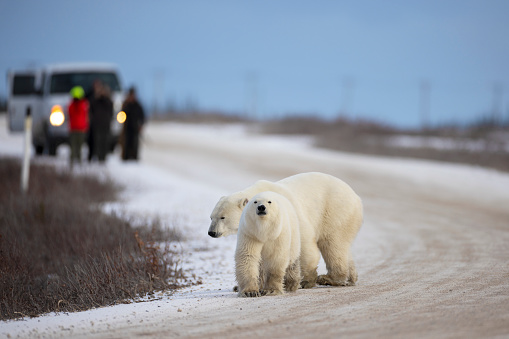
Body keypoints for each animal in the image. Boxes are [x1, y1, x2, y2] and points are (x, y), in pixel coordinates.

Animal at [208, 173, 364, 290]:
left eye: (222, 217)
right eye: (211, 217)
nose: (211, 232)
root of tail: (357, 198)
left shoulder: (288, 216)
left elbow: (304, 242)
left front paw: (306, 280)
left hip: (335, 211)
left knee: (333, 244)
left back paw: (330, 278)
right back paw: (351, 278)